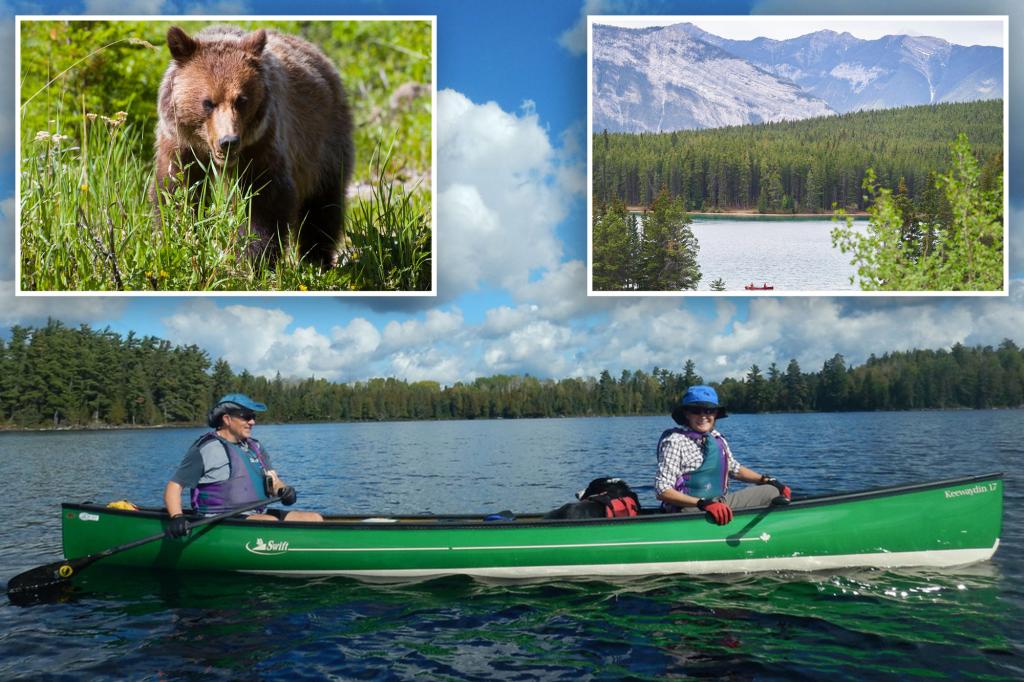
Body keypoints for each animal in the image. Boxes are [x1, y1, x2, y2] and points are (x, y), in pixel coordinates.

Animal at [153, 25, 354, 267]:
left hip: (322, 141)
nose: (228, 141)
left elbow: (264, 200)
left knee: (322, 203)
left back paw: (316, 258)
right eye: (208, 102)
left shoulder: (263, 143)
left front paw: (254, 258)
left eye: (241, 100)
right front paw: (176, 239)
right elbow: (177, 191)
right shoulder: (180, 144)